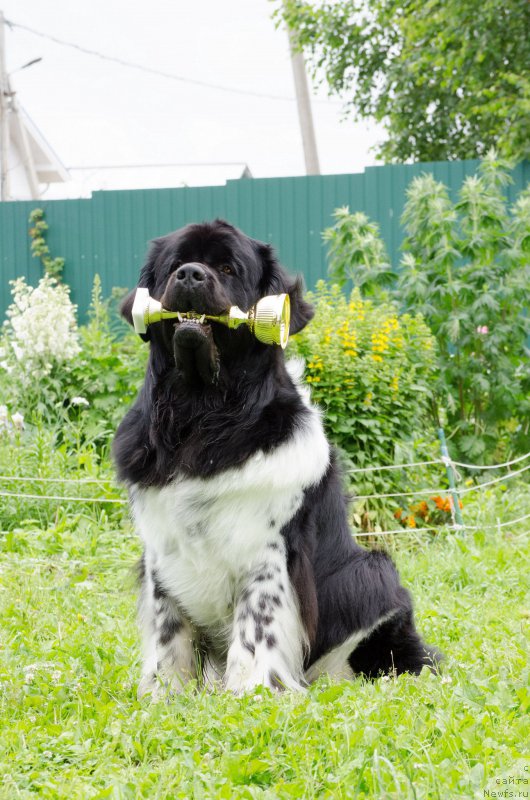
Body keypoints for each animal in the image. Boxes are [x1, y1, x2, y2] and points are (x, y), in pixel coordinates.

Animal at [112, 217, 438, 692]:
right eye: (175, 265)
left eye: (229, 268)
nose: (190, 275)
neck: (201, 413)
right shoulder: (162, 549)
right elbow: (167, 631)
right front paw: (163, 695)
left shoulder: (268, 550)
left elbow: (257, 625)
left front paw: (251, 692)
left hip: (372, 571)